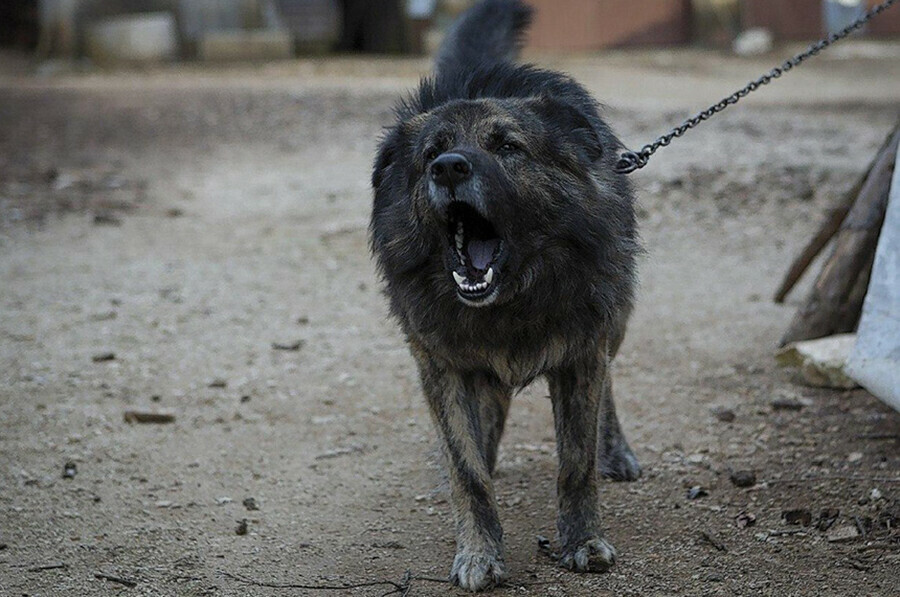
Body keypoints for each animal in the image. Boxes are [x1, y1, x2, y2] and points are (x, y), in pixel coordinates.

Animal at [370, 0, 644, 588]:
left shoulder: (582, 351)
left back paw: (617, 451)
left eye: (508, 147)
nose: (448, 168)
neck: (510, 299)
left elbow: (576, 463)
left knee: (608, 385)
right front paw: (479, 551)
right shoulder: (440, 363)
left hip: (615, 319)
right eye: (432, 152)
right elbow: (467, 468)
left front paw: (582, 541)